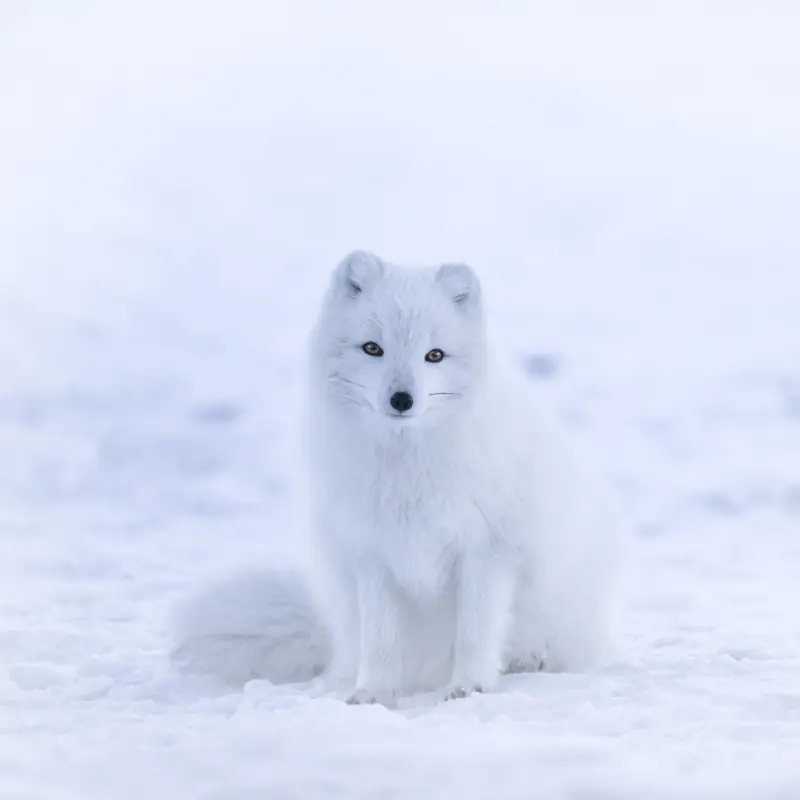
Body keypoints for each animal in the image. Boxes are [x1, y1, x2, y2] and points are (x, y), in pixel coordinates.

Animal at [172, 251, 626, 706]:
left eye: (435, 355)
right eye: (373, 348)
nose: (402, 399)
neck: (407, 469)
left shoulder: (487, 550)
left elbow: (476, 631)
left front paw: (469, 687)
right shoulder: (372, 553)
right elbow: (382, 639)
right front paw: (372, 694)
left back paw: (529, 660)